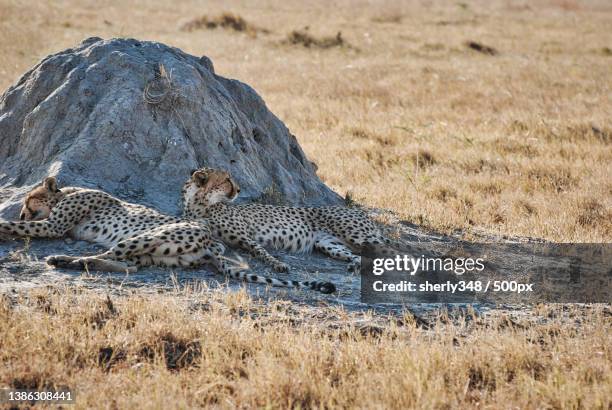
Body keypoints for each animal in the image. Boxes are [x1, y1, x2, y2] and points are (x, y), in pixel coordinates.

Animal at [0, 178, 334, 294]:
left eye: (28, 200)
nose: (22, 211)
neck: (67, 192)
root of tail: (212, 242)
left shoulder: (52, 226)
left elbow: (12, 227)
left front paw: (8, 223)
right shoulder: (53, 225)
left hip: (147, 237)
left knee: (110, 256)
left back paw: (62, 259)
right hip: (154, 254)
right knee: (128, 266)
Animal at [182, 167, 392, 276]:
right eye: (227, 180)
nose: (239, 190)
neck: (199, 205)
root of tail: (361, 213)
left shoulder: (247, 237)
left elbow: (262, 252)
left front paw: (278, 264)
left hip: (356, 235)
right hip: (328, 244)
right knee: (360, 256)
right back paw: (355, 265)